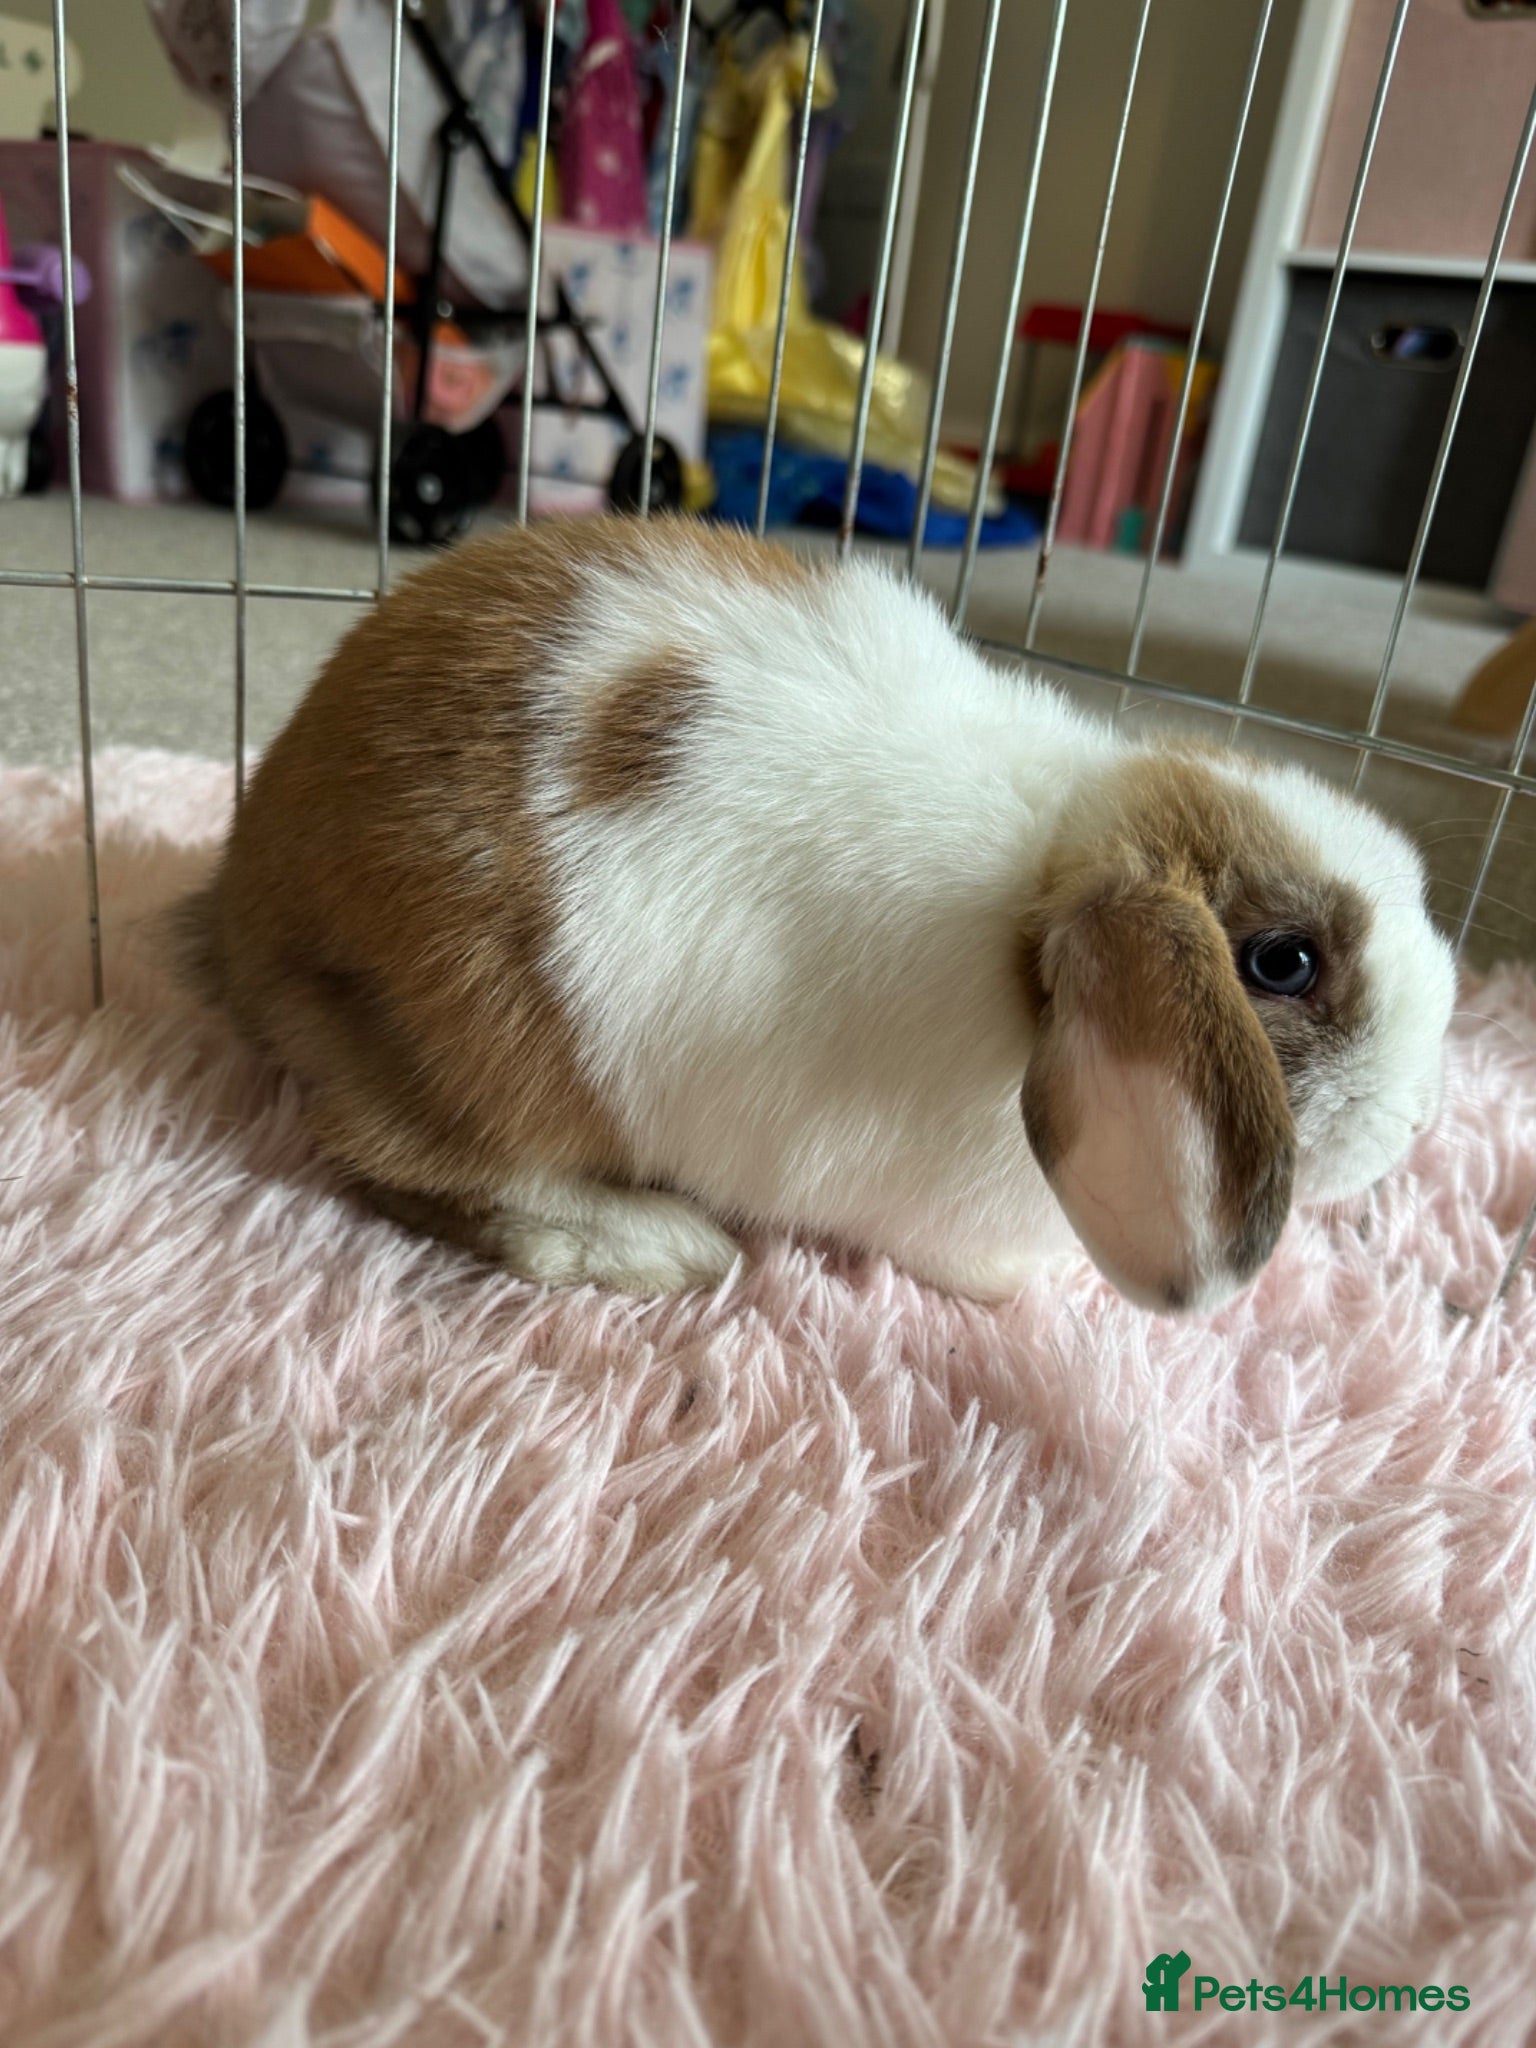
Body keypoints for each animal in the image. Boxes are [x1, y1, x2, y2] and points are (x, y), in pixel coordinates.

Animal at [173, 515, 1456, 1315]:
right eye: (1283, 961)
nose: (1416, 1120)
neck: (1029, 921)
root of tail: (243, 904)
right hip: (461, 1053)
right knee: (394, 1162)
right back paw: (656, 1244)